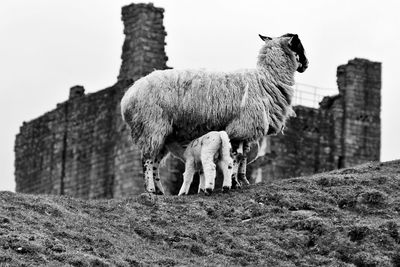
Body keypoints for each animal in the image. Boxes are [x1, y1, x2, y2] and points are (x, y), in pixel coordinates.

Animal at [122, 34, 310, 197]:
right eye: (298, 45)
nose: (307, 64)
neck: (265, 80)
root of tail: (128, 97)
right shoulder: (240, 127)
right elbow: (236, 157)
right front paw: (234, 183)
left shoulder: (246, 129)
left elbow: (243, 157)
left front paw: (243, 182)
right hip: (151, 126)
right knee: (147, 159)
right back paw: (150, 189)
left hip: (162, 134)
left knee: (155, 161)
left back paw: (160, 191)